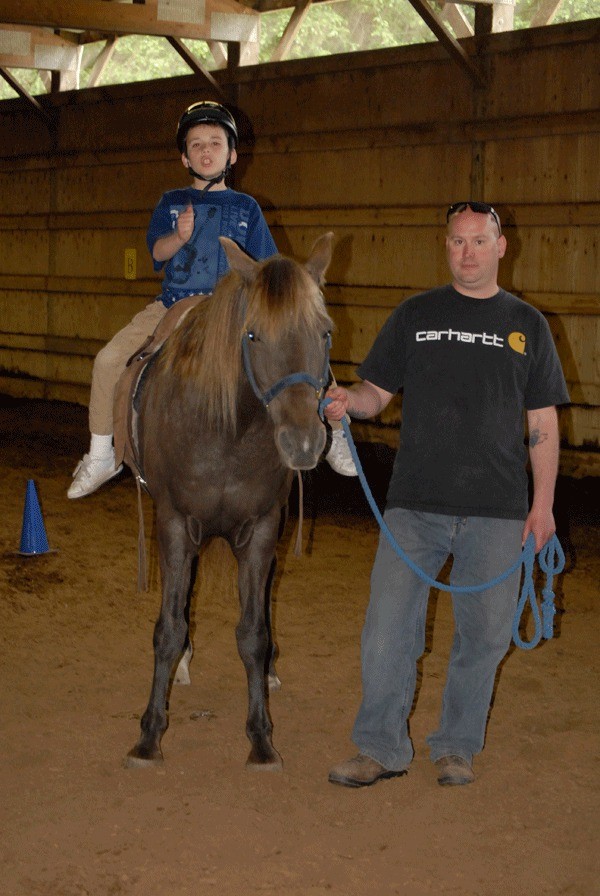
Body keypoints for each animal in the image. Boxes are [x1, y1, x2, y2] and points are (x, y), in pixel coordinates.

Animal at [125, 233, 332, 768]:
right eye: (253, 335)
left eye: (325, 333)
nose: (303, 443)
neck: (227, 432)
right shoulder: (175, 524)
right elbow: (168, 629)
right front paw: (149, 736)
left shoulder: (260, 530)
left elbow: (253, 634)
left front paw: (261, 739)